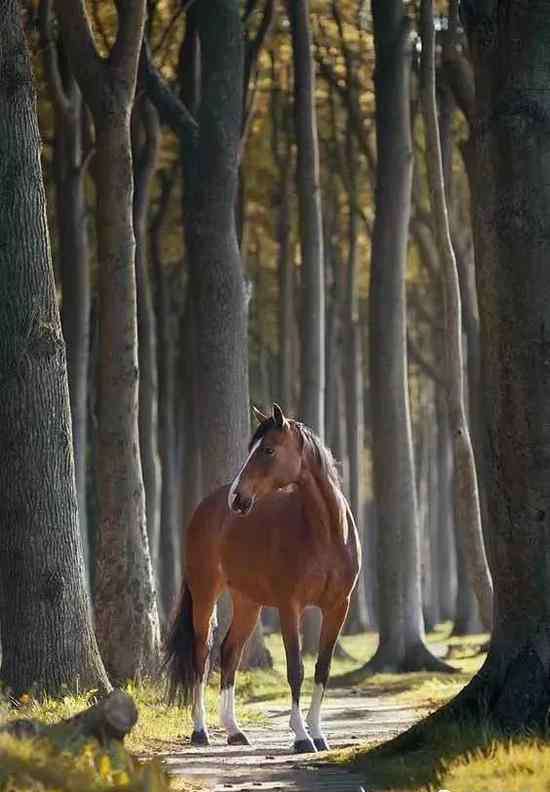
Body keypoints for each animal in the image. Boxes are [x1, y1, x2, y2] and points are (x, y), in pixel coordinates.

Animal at [164, 406, 362, 752]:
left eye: (268, 450)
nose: (236, 498)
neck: (327, 535)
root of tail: (205, 507)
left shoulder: (338, 607)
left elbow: (322, 669)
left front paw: (318, 734)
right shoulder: (289, 607)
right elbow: (295, 669)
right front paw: (301, 736)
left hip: (248, 602)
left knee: (229, 652)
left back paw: (234, 731)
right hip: (205, 594)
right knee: (201, 655)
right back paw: (200, 731)